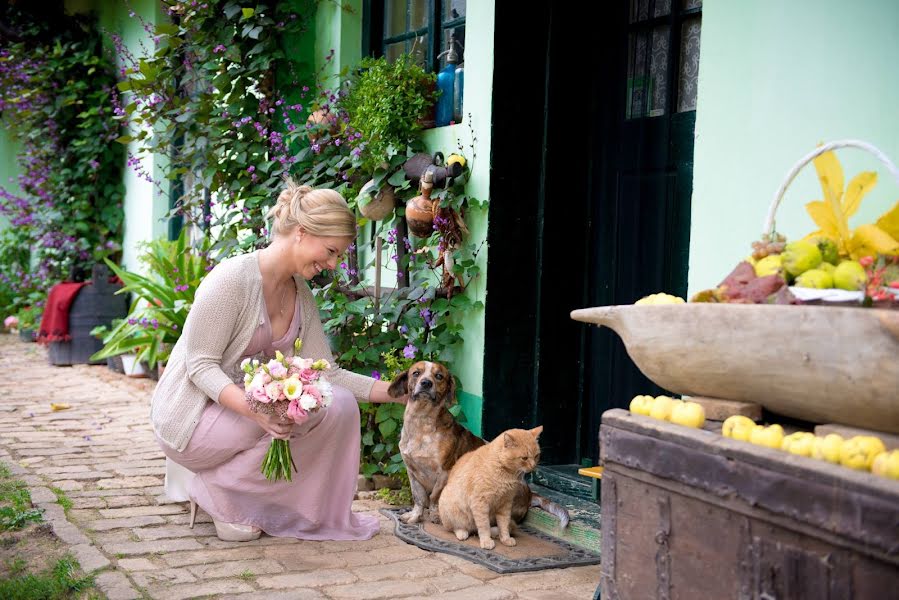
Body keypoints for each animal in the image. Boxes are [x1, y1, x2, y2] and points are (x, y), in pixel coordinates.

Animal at [388, 358, 568, 528]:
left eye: (439, 376)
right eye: (416, 373)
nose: (426, 383)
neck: (421, 423)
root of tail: (530, 494)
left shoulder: (445, 471)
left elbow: (434, 497)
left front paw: (436, 515)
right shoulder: (412, 472)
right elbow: (419, 498)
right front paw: (415, 516)